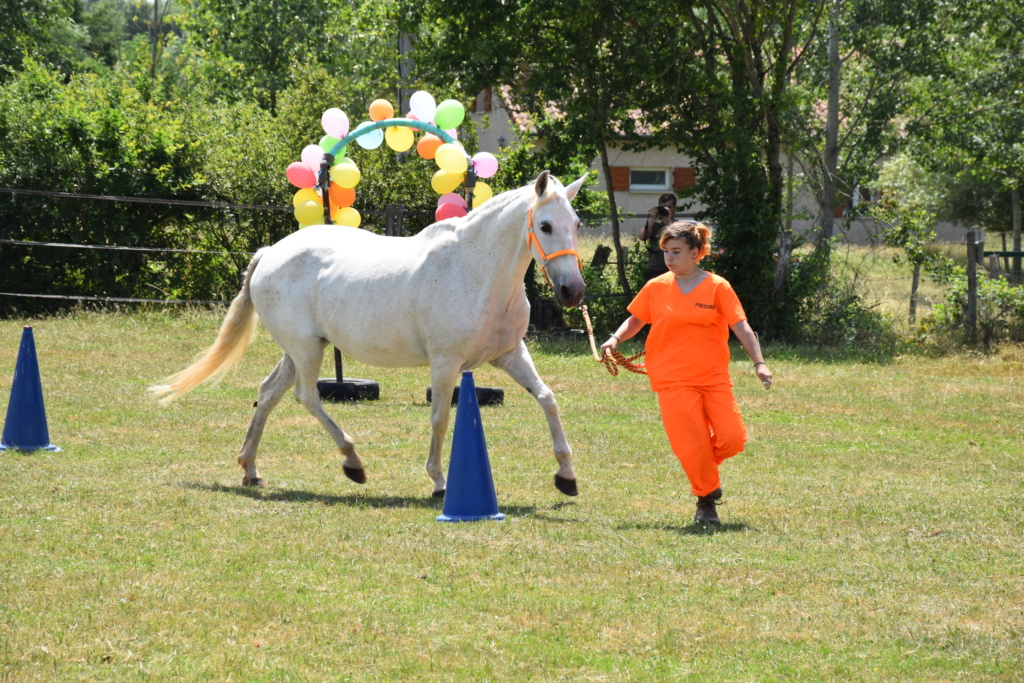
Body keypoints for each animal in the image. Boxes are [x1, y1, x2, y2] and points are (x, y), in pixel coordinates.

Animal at [149, 172, 589, 497]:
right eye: (545, 225)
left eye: (576, 225)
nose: (573, 292)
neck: (476, 270)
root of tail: (270, 252)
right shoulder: (445, 364)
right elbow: (440, 418)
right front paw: (439, 482)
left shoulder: (511, 355)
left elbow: (548, 400)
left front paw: (567, 476)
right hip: (306, 350)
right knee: (306, 396)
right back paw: (352, 463)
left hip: (298, 350)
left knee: (268, 393)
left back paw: (251, 469)